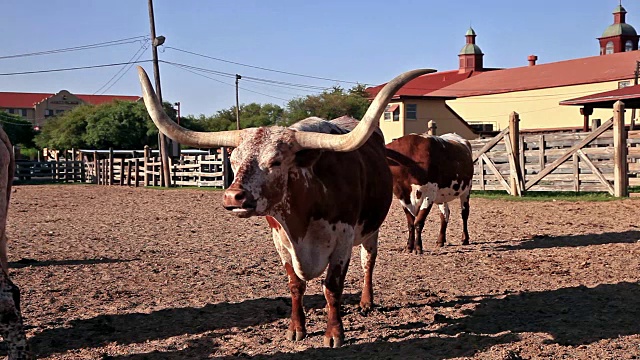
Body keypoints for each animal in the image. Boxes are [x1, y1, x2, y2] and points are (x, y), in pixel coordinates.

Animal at [137, 67, 432, 346]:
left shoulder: (343, 240)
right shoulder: (281, 240)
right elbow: (295, 285)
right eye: (234, 159)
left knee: (368, 261)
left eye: (276, 161)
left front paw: (334, 334)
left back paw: (366, 302)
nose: (233, 197)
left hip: (371, 228)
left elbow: (332, 287)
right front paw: (296, 329)